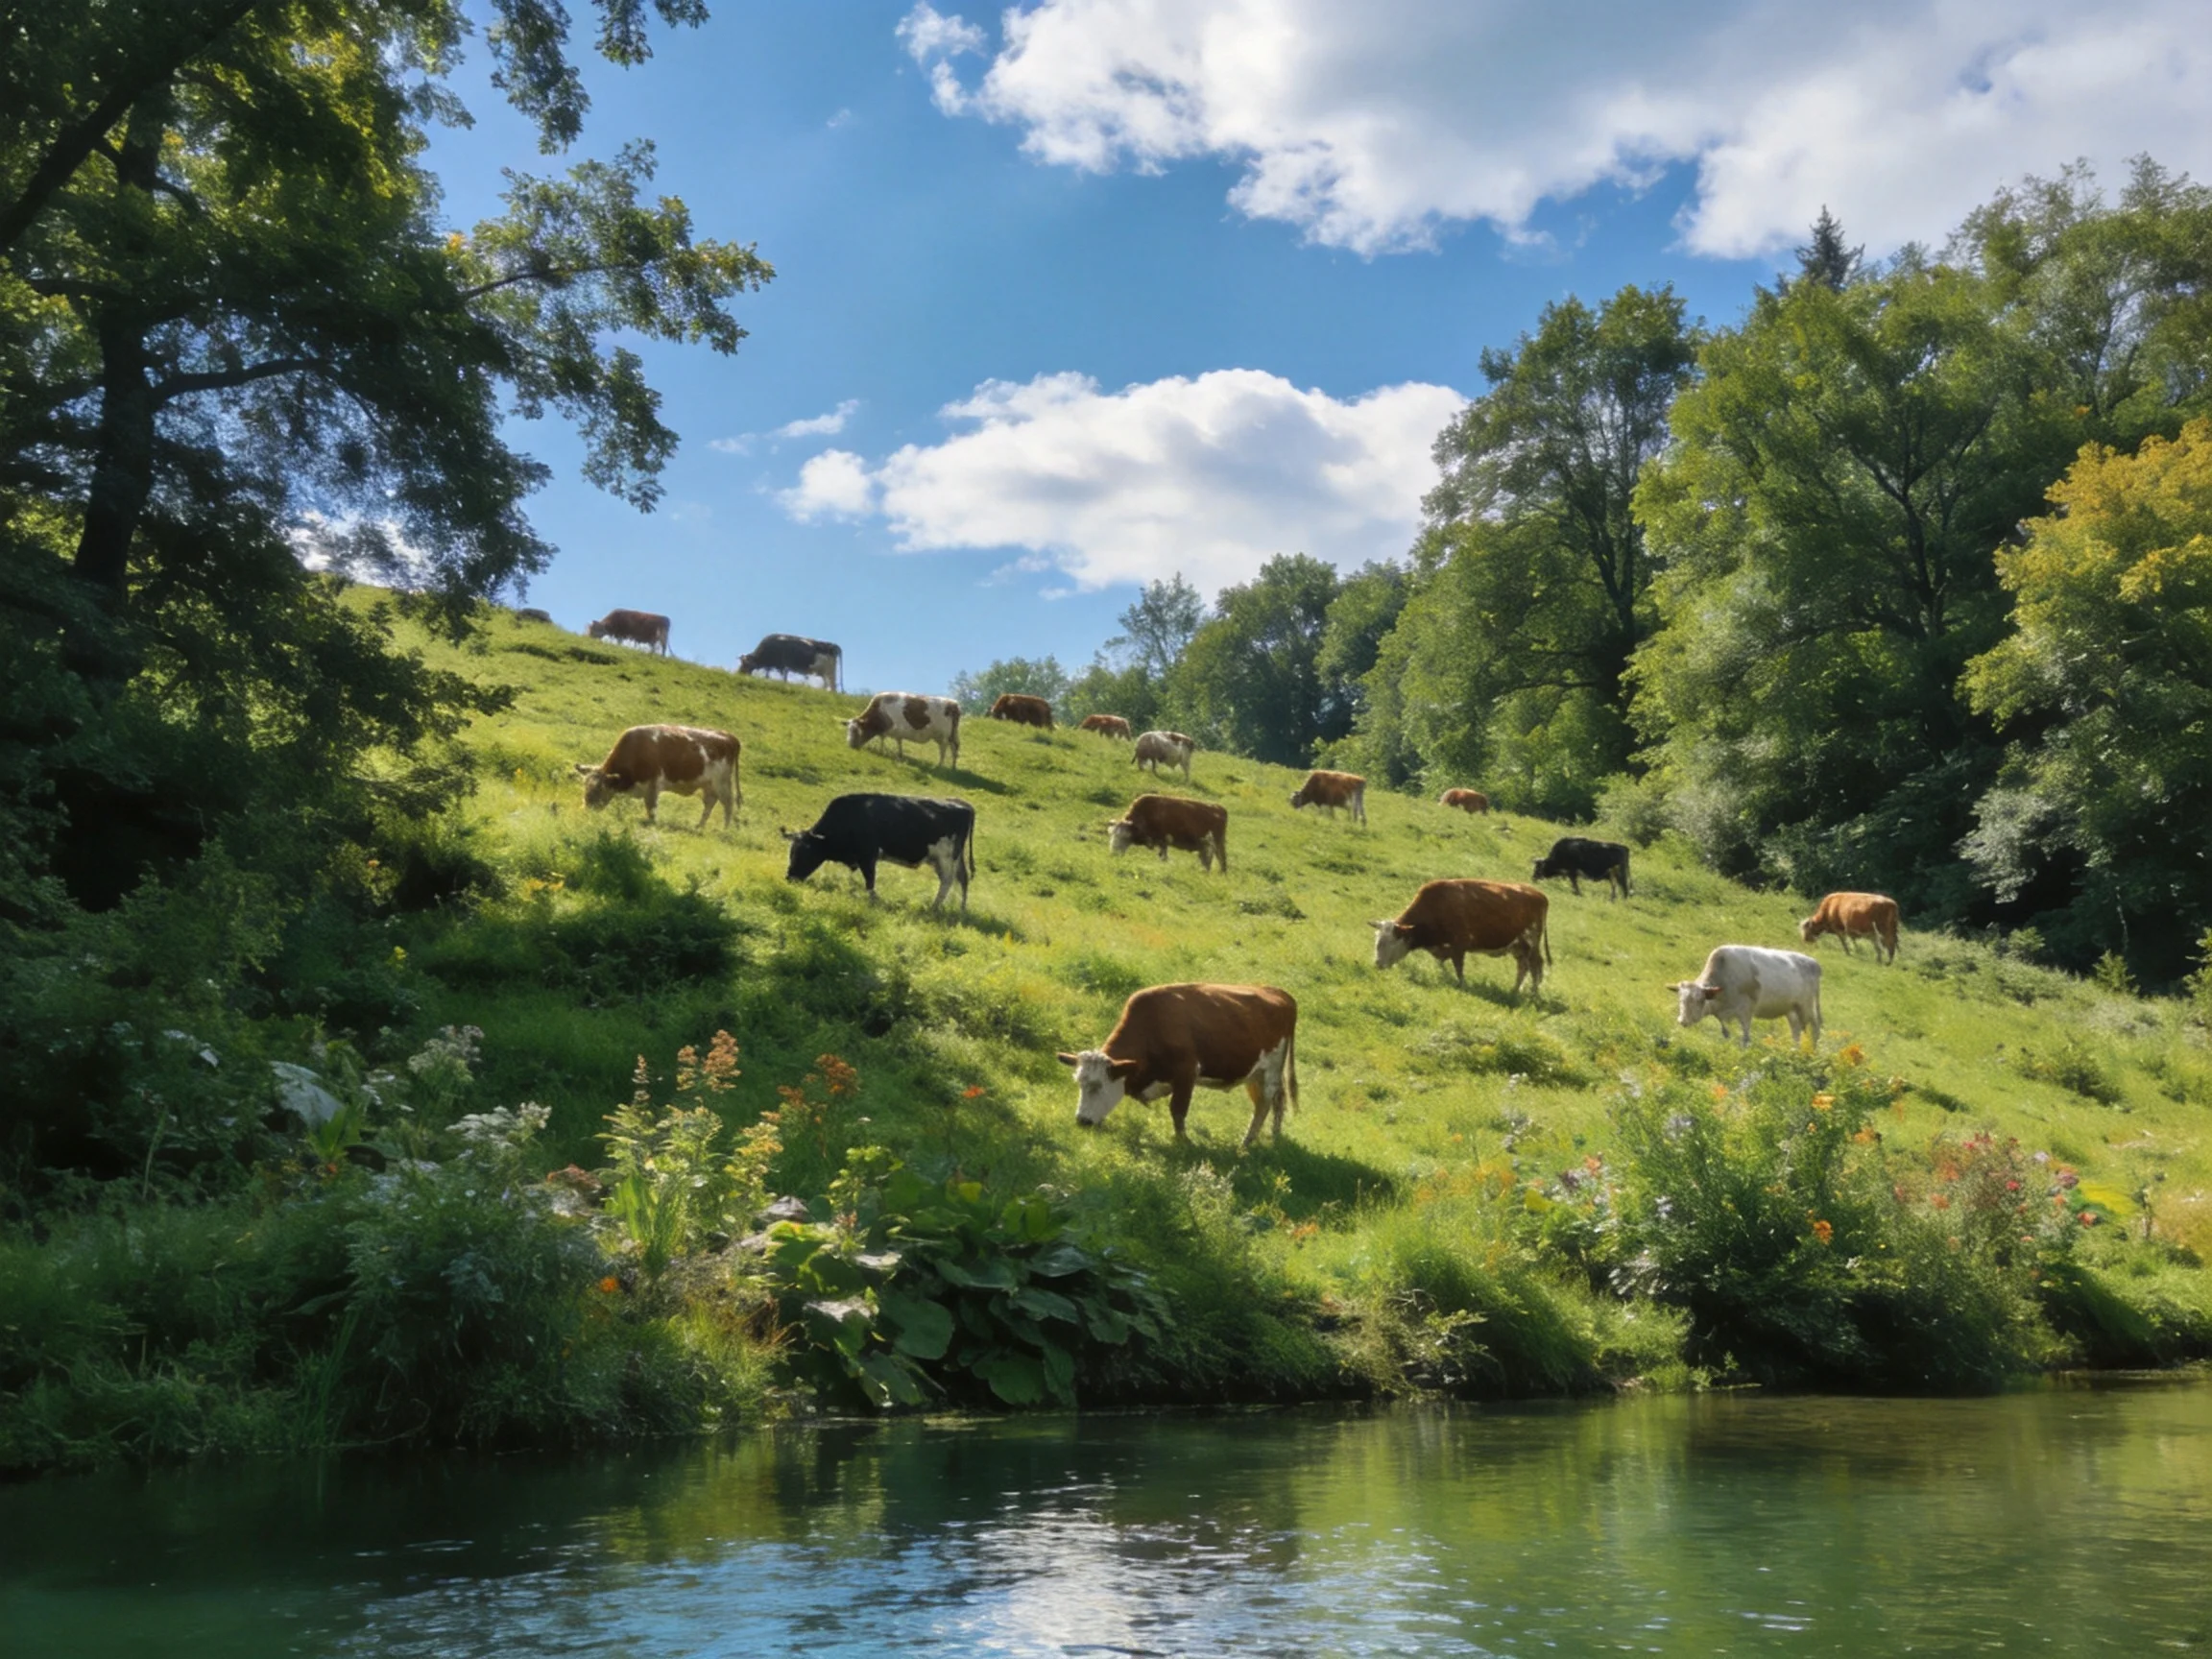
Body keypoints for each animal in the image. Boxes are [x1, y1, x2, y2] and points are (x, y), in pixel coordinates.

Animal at [573, 725, 740, 829]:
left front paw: (651, 824)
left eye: (600, 790)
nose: (586, 811)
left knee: (728, 804)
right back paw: (699, 826)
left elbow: (651, 809)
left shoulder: (653, 786)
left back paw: (724, 830)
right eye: (585, 787)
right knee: (709, 803)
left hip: (722, 782)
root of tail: (729, 736)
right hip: (708, 784)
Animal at [782, 794, 976, 910]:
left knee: (947, 881)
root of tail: (963, 805)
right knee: (963, 878)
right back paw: (960, 909)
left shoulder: (868, 856)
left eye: (805, 853)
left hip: (946, 858)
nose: (789, 877)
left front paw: (873, 902)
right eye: (791, 852)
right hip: (953, 858)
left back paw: (934, 908)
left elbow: (870, 880)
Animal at [1057, 983, 1298, 1148]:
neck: (1152, 1027)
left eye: (1098, 1086)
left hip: (1271, 1070)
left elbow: (1178, 1110)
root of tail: (1279, 993)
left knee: (1265, 1103)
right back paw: (1274, 1136)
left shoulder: (1187, 1072)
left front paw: (1183, 1143)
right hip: (1256, 1074)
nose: (1082, 1121)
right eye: (1079, 1084)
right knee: (1277, 1100)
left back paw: (1246, 1143)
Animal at [1370, 879, 1549, 997]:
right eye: (1377, 943)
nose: (1378, 964)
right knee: (1524, 967)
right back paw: (1517, 991)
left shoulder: (1460, 944)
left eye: (1389, 942)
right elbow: (1442, 963)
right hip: (1519, 946)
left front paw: (1462, 985)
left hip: (1531, 942)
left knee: (1535, 966)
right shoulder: (1445, 947)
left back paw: (1530, 993)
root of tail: (1540, 895)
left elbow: (1458, 967)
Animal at [1670, 945, 1823, 1048]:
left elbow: (1745, 1036)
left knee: (1814, 1028)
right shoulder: (1722, 1015)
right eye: (1680, 1000)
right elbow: (1726, 1033)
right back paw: (1794, 1050)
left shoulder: (1746, 1010)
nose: (1682, 1020)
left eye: (1698, 1000)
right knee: (1796, 1030)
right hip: (1792, 1010)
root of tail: (1813, 963)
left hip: (1806, 1007)